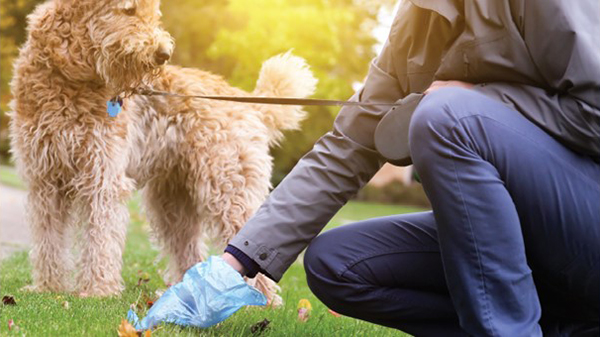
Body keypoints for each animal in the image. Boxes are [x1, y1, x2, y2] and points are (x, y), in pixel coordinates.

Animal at [10, 0, 318, 304]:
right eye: (129, 10)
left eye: (154, 14)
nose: (163, 53)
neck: (68, 78)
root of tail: (249, 103)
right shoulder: (45, 180)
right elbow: (48, 239)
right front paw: (48, 287)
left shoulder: (103, 178)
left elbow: (100, 239)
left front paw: (97, 290)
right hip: (173, 202)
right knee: (189, 250)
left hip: (228, 187)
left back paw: (259, 301)